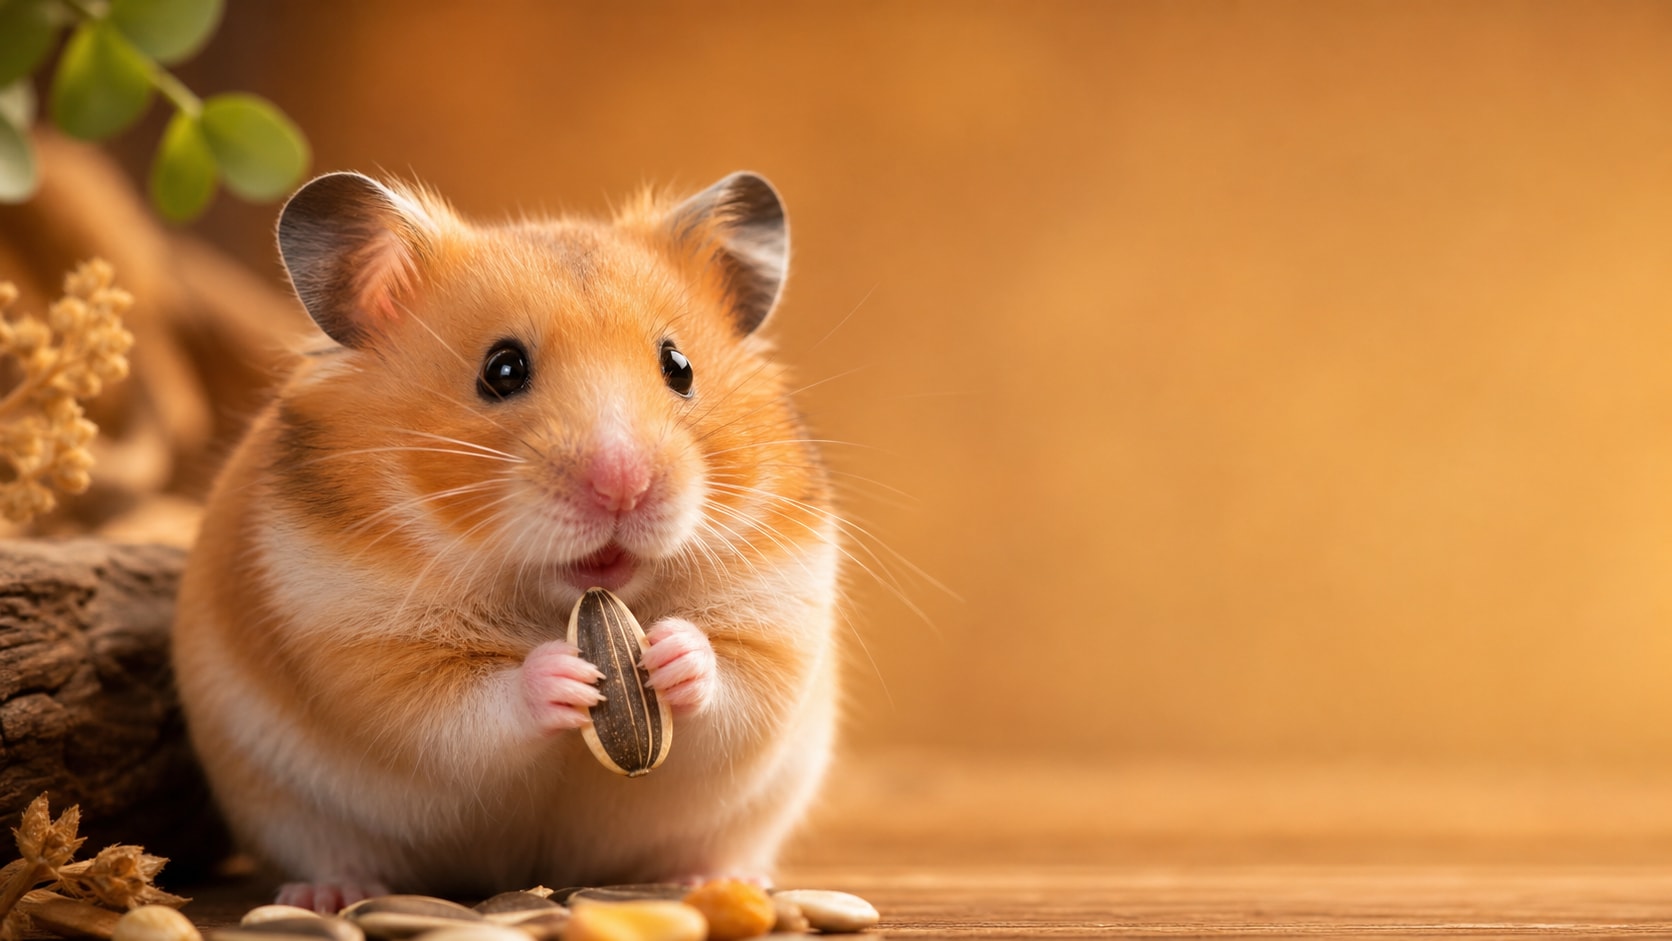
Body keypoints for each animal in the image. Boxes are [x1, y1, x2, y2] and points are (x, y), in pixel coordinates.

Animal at [172, 171, 840, 911]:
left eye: (680, 366)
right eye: (503, 370)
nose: (624, 486)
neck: (568, 598)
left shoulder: (783, 609)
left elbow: (736, 677)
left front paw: (669, 650)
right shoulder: (362, 640)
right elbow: (470, 708)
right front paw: (567, 673)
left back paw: (724, 879)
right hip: (289, 806)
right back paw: (330, 895)